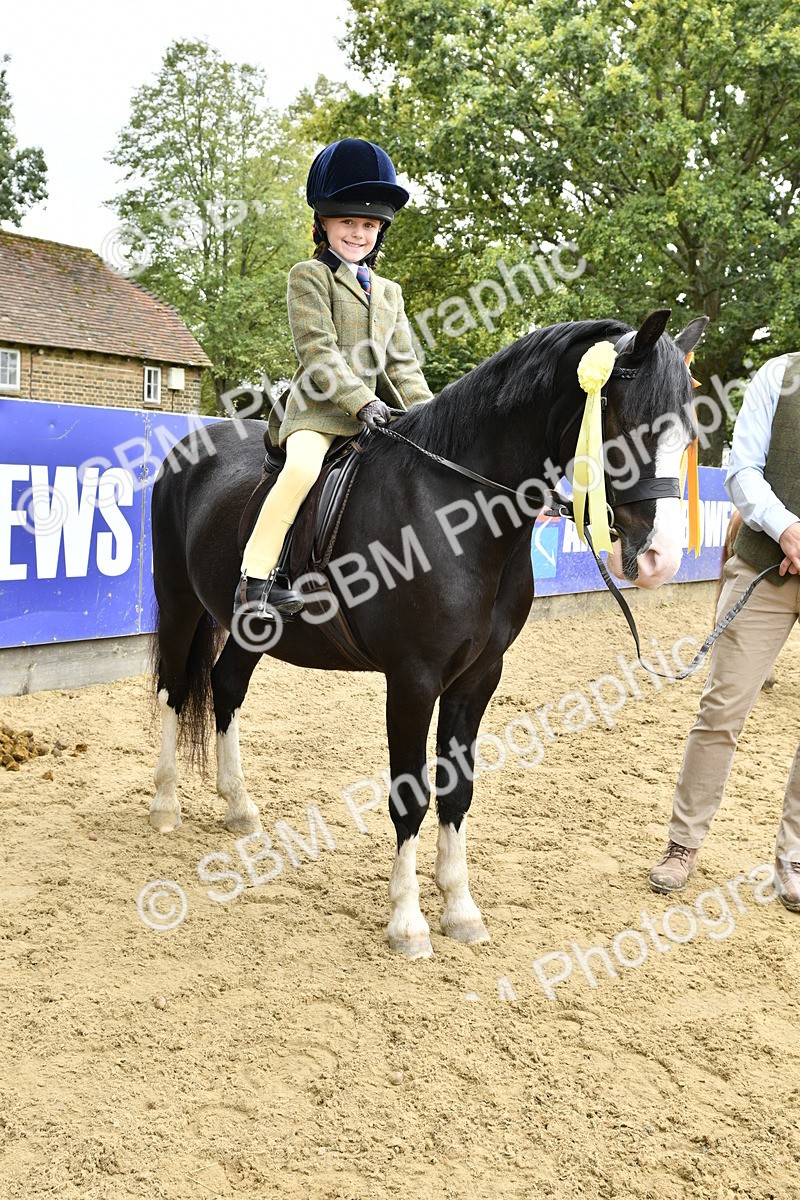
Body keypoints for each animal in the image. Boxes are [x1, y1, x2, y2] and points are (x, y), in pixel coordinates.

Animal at [150, 307, 708, 959]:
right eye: (633, 430)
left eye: (688, 438)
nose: (662, 560)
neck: (455, 510)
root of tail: (191, 448)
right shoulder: (413, 680)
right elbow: (411, 793)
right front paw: (407, 923)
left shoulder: (478, 677)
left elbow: (457, 790)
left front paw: (461, 910)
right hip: (179, 602)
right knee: (174, 690)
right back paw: (165, 805)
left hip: (250, 629)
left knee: (226, 688)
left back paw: (238, 808)